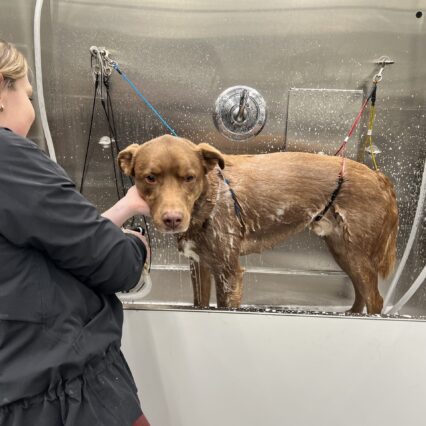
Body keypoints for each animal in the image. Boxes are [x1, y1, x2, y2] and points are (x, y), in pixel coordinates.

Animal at [118, 135, 398, 314]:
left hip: (356, 252)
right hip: (343, 250)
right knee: (361, 292)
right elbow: (200, 304)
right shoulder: (199, 265)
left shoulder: (229, 272)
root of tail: (379, 176)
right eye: (150, 178)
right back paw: (351, 314)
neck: (208, 200)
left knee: (375, 298)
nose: (173, 219)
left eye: (189, 178)